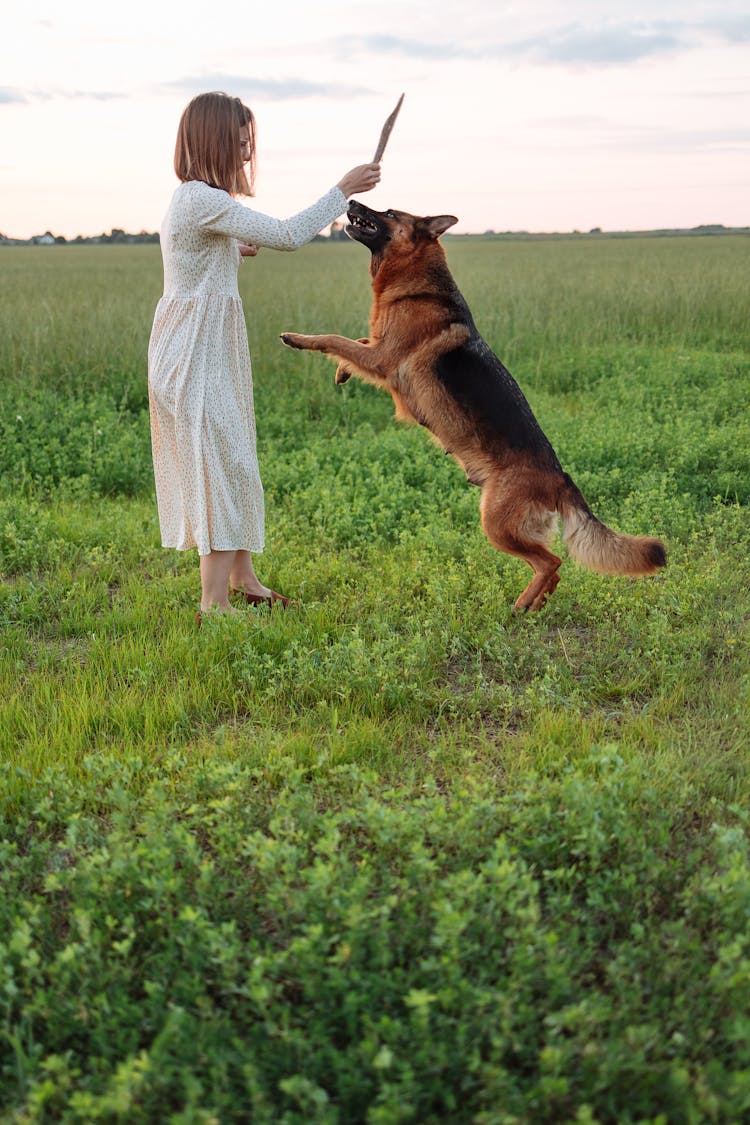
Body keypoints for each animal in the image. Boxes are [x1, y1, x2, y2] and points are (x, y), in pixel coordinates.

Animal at [283, 200, 670, 607]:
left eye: (388, 212)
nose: (351, 202)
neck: (416, 284)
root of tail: (561, 478)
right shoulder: (377, 350)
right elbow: (353, 341)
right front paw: (342, 371)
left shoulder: (383, 359)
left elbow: (335, 338)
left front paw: (297, 338)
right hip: (508, 527)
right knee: (553, 568)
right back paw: (536, 602)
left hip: (495, 525)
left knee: (552, 561)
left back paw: (522, 605)